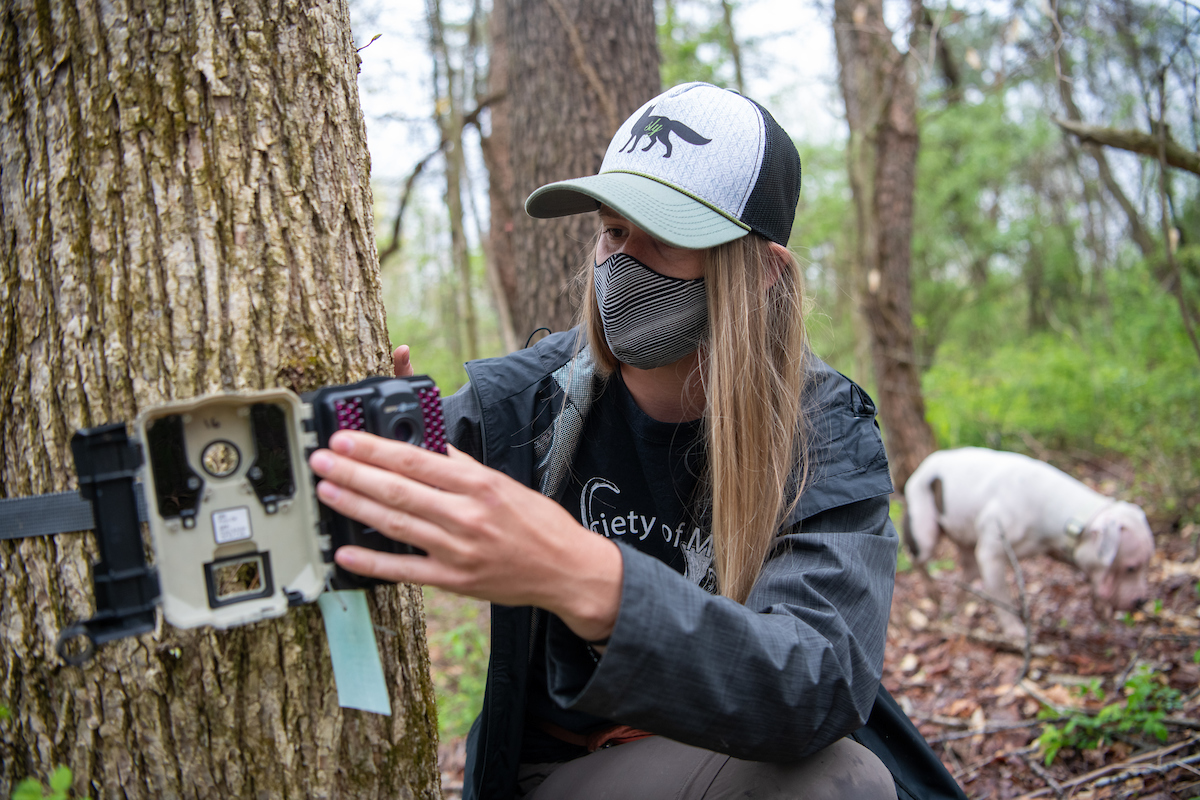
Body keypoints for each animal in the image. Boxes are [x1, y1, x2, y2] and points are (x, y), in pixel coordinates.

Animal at [907, 448, 1152, 633]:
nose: (1142, 601)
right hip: (924, 535)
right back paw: (933, 593)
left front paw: (1101, 607)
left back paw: (955, 606)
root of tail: (924, 464)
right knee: (918, 561)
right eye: (1130, 568)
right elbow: (1004, 599)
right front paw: (1014, 630)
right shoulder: (991, 556)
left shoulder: (1061, 547)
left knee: (966, 573)